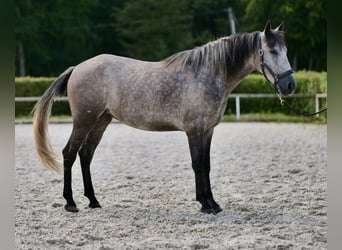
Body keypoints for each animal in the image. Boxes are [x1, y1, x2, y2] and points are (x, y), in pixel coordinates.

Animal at [32, 20, 296, 214]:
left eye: (286, 51)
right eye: (272, 51)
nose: (290, 85)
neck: (208, 73)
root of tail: (76, 68)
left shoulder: (208, 130)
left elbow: (207, 166)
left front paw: (213, 203)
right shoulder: (194, 131)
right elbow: (198, 165)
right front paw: (205, 204)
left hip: (101, 120)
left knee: (86, 155)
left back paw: (93, 201)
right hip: (84, 120)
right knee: (69, 153)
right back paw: (70, 203)